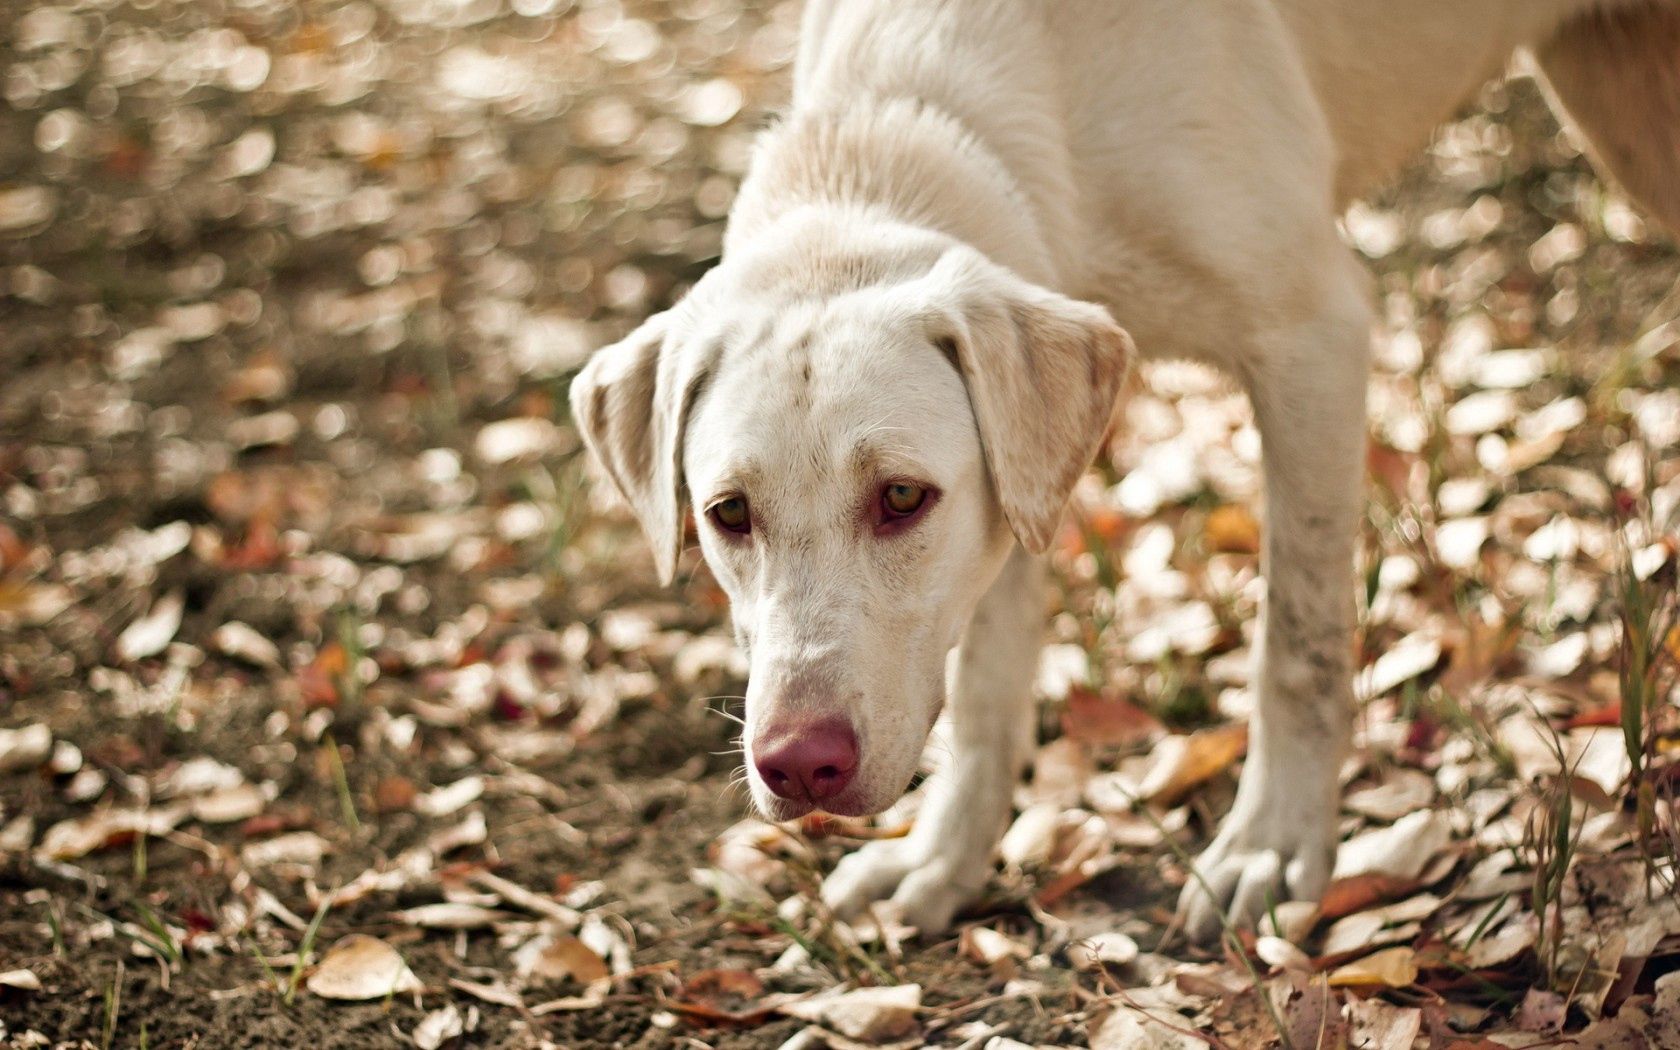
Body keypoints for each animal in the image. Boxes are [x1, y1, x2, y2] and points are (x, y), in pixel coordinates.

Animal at [567, 0, 1680, 940]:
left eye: (900, 498)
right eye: (728, 514)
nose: (799, 768)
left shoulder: (1313, 338)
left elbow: (1295, 644)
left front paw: (1273, 846)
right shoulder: (1017, 481)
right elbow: (987, 692)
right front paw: (945, 858)